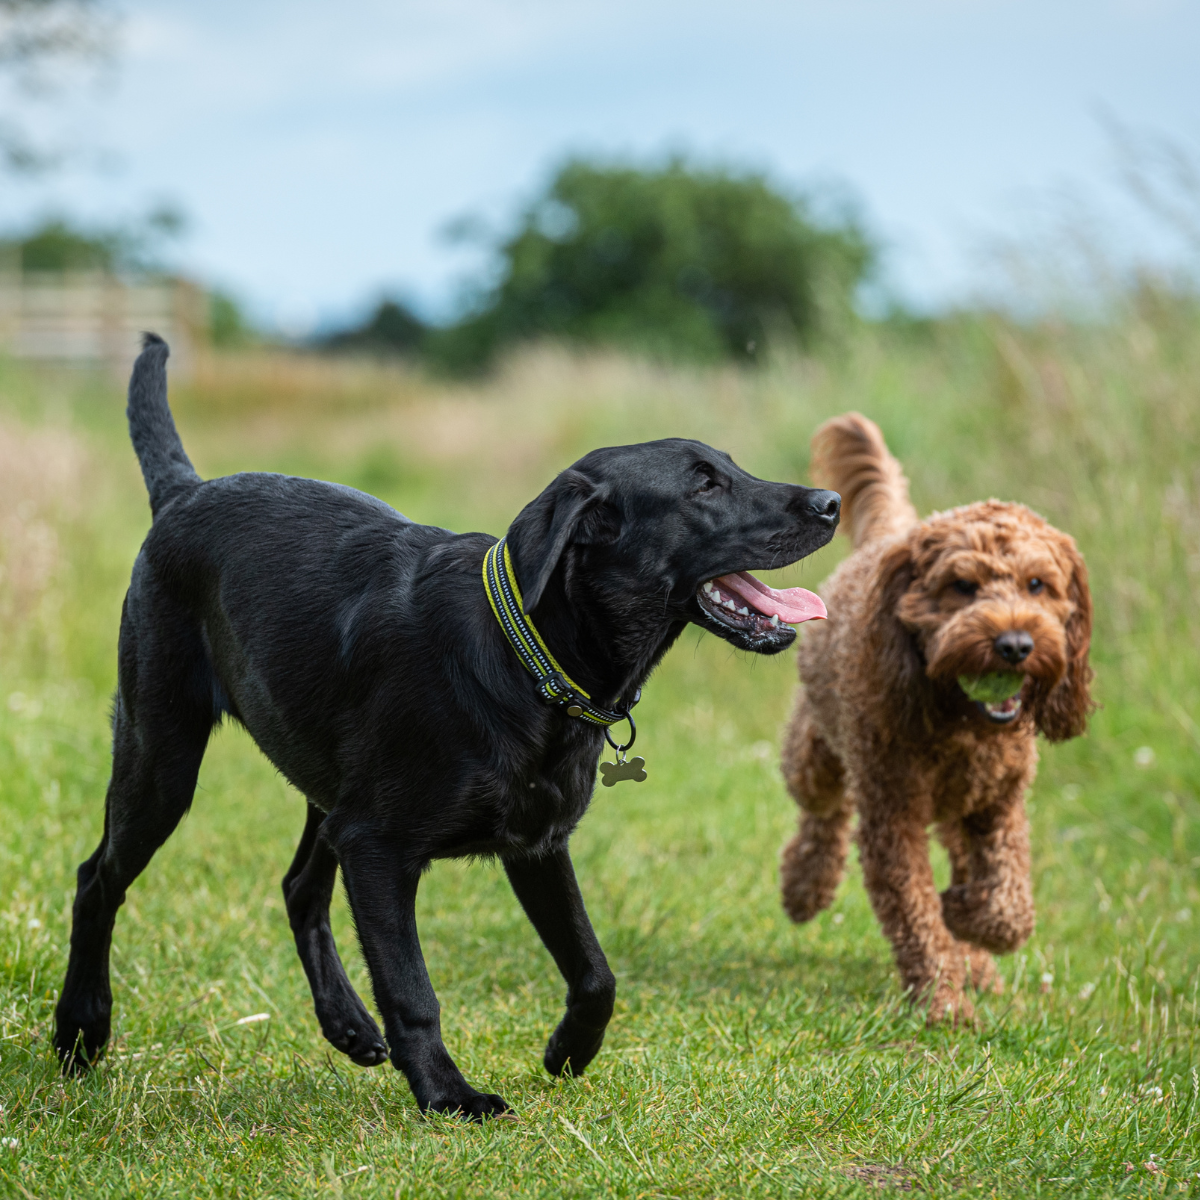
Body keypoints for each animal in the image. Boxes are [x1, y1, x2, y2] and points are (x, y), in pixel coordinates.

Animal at [56, 336, 840, 1113]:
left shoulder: (535, 843)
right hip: (162, 757)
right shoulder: (377, 847)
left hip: (323, 789)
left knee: (299, 888)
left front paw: (566, 1051)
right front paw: (448, 1094)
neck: (529, 658)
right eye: (704, 486)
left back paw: (347, 1025)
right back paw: (80, 1031)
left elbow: (596, 972)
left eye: (733, 468)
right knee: (98, 879)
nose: (830, 500)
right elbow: (412, 989)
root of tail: (183, 492)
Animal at [782, 415, 1094, 1022]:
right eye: (961, 586)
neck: (961, 723)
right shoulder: (892, 816)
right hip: (815, 751)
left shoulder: (999, 805)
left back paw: (978, 965)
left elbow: (1008, 908)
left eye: (1038, 585)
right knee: (824, 809)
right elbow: (915, 912)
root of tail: (894, 534)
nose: (1014, 645)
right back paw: (806, 887)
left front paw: (965, 923)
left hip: (955, 809)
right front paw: (943, 1001)